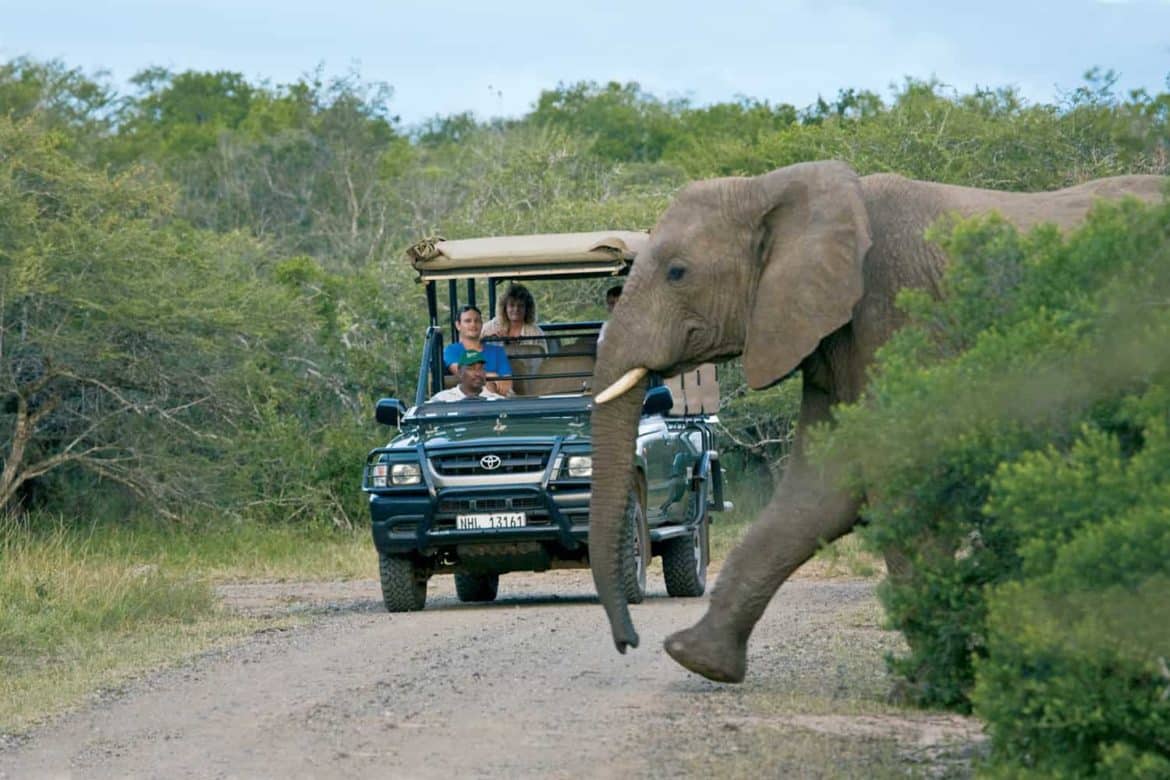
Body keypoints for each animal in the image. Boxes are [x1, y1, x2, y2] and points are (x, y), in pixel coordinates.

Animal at [587, 160, 1167, 683]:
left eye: (677, 272)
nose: (627, 642)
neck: (777, 188)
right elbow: (818, 494)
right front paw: (696, 659)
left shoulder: (901, 314)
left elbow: (901, 484)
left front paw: (928, 687)